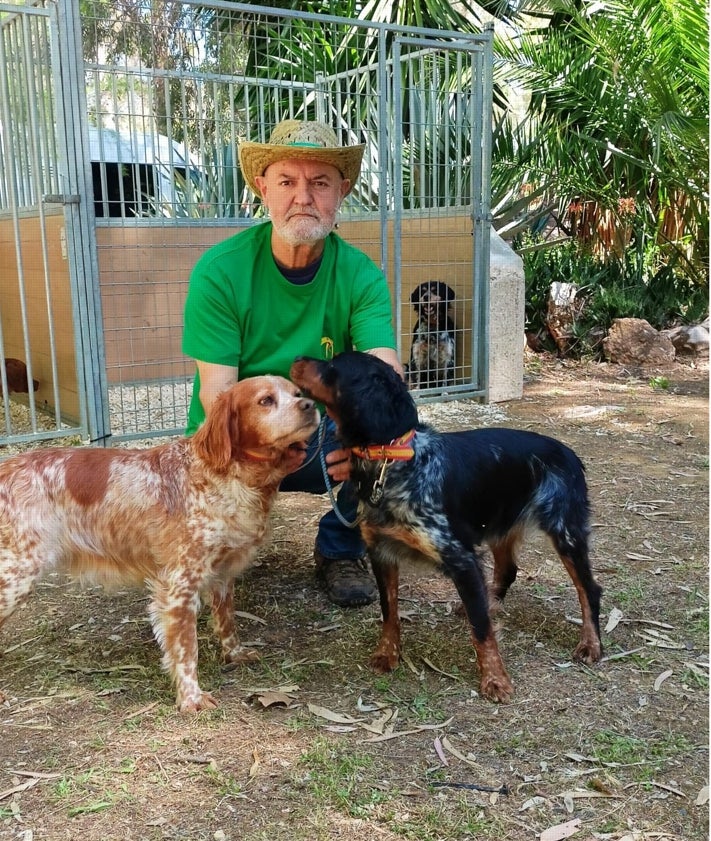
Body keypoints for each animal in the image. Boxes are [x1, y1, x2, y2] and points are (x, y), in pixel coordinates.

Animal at [0, 378, 318, 712]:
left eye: (297, 393)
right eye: (265, 400)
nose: (310, 405)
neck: (223, 476)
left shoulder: (222, 574)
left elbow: (227, 620)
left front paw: (235, 654)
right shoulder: (179, 584)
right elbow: (186, 648)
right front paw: (191, 698)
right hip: (16, 575)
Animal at [292, 350, 604, 704]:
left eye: (333, 365)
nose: (297, 358)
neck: (393, 462)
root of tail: (569, 453)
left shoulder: (461, 558)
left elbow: (481, 629)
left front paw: (495, 679)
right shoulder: (381, 553)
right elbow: (389, 611)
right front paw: (388, 653)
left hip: (565, 532)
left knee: (589, 589)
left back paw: (590, 643)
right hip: (499, 524)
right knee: (507, 570)